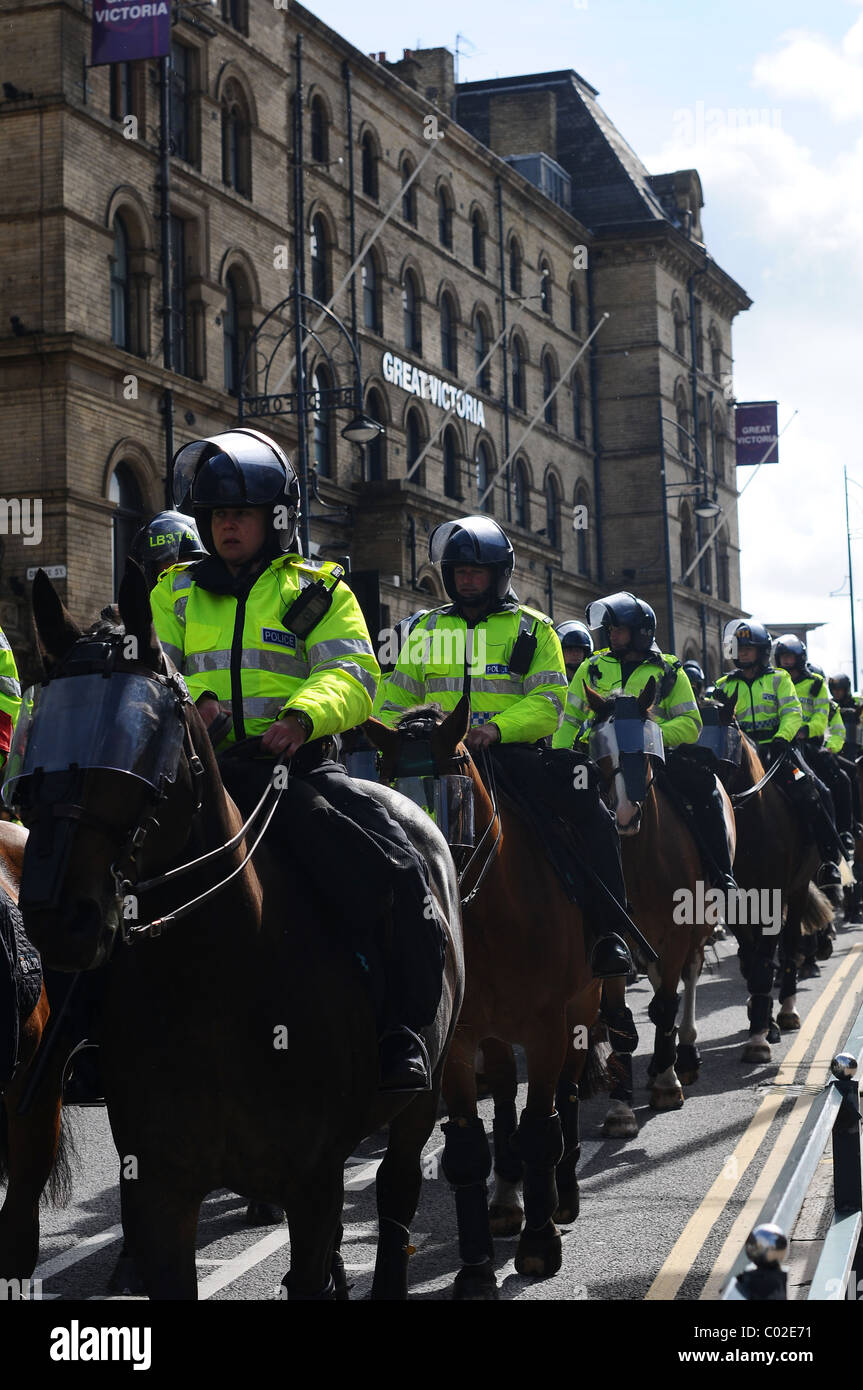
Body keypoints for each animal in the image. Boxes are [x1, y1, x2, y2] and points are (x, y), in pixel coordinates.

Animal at [11, 567, 464, 1301]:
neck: (215, 984)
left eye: (146, 731)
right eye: (43, 726)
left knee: (396, 1190)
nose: (58, 914)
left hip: (421, 1097)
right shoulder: (160, 1194)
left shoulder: (313, 1184)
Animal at [366, 706, 603, 1301]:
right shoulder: (458, 1040)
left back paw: (561, 1197)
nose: (428, 885)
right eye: (385, 794)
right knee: (503, 1095)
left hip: (582, 1009)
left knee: (565, 1097)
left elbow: (542, 1128)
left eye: (455, 794)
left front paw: (540, 1246)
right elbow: (468, 1149)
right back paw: (506, 1201)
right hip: (496, 1034)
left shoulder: (545, 1029)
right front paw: (474, 1269)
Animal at [578, 678, 728, 1134]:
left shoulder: (678, 933)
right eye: (600, 751)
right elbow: (620, 1019)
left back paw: (685, 1057)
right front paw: (620, 1106)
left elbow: (665, 1005)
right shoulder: (615, 940)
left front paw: (667, 1084)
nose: (626, 814)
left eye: (646, 751)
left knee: (689, 979)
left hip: (698, 927)